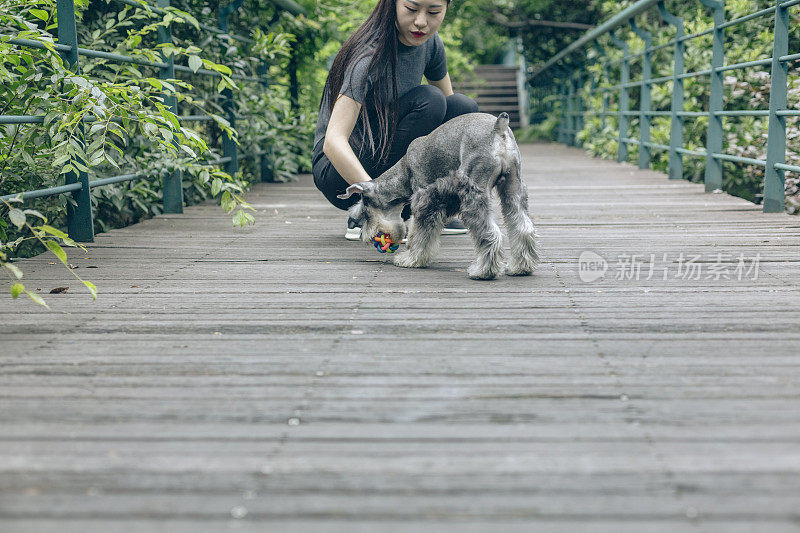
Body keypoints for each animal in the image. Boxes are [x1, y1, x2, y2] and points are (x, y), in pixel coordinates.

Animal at [338, 110, 536, 280]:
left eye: (365, 213)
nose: (365, 237)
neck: (404, 172)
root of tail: (498, 129)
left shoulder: (424, 201)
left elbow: (420, 233)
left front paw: (411, 259)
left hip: (474, 193)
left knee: (490, 233)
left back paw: (483, 271)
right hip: (513, 187)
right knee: (523, 228)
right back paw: (520, 267)